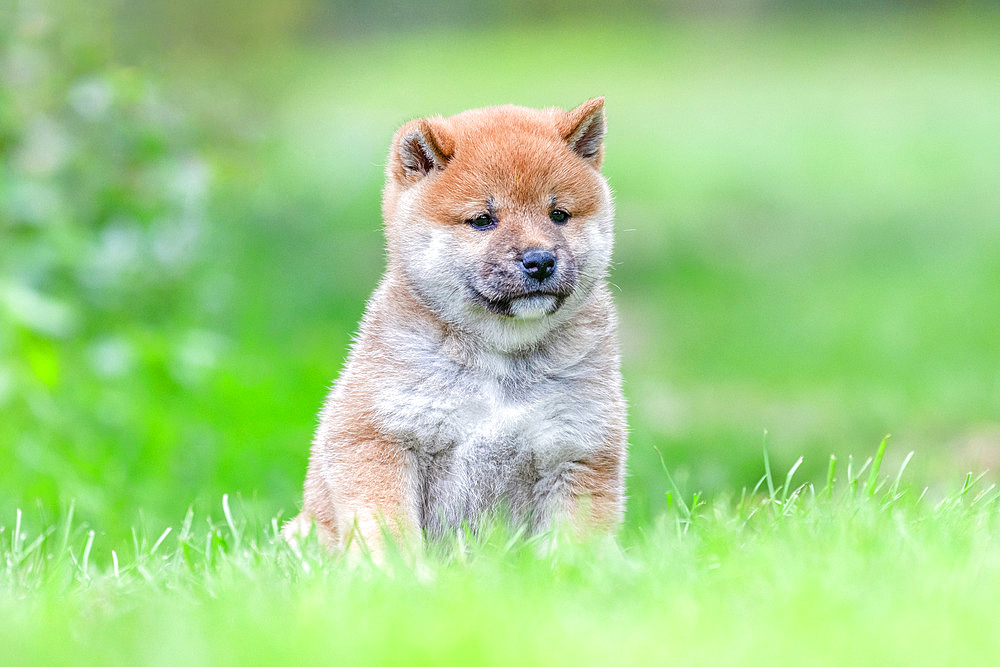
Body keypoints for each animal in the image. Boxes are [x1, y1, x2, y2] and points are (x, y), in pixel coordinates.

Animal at [286, 98, 624, 560]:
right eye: (483, 220)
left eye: (559, 215)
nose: (540, 261)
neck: (499, 362)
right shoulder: (378, 438)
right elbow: (388, 529)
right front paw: (398, 571)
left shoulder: (578, 450)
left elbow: (574, 544)